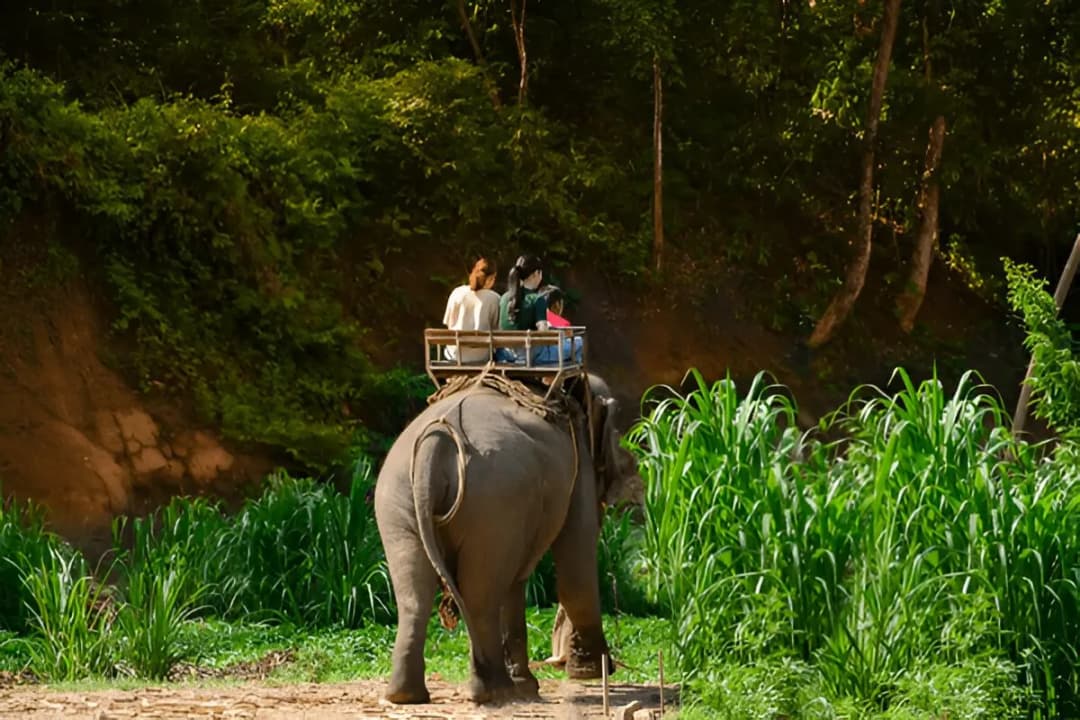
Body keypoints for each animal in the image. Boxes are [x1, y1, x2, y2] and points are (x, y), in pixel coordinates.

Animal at [374, 373, 639, 705]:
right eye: (616, 435)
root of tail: (435, 443)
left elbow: (516, 581)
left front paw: (529, 685)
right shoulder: (579, 464)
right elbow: (575, 566)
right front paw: (590, 672)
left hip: (398, 503)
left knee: (414, 594)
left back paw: (407, 696)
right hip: (492, 503)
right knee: (480, 596)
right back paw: (492, 691)